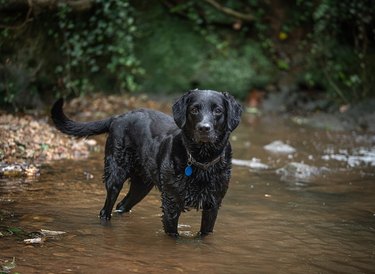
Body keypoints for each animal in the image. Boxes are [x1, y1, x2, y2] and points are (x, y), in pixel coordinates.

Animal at [51, 89, 242, 235]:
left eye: (218, 111)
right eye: (194, 110)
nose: (204, 128)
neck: (202, 160)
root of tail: (118, 117)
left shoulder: (213, 205)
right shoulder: (171, 204)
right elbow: (173, 235)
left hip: (142, 186)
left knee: (122, 205)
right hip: (115, 175)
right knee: (106, 209)